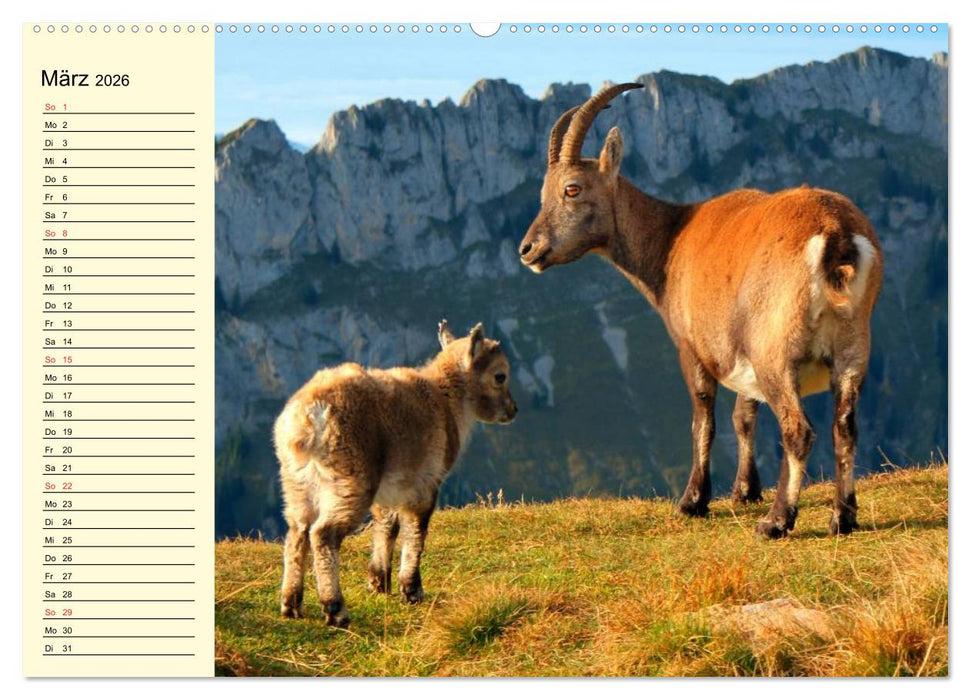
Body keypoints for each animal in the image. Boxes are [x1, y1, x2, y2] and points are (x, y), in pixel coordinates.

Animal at [275, 320, 517, 626]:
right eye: (500, 376)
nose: (513, 411)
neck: (447, 400)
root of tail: (309, 417)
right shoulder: (424, 484)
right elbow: (416, 531)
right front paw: (412, 590)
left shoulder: (390, 489)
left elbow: (386, 526)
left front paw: (379, 583)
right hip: (350, 480)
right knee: (323, 534)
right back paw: (335, 609)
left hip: (296, 482)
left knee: (298, 531)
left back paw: (291, 604)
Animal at [518, 83, 882, 538]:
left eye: (572, 188)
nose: (528, 249)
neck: (671, 241)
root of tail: (836, 237)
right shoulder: (738, 351)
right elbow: (744, 415)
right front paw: (745, 490)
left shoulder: (693, 347)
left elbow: (703, 419)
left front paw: (693, 501)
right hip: (852, 346)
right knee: (845, 426)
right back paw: (842, 517)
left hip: (776, 348)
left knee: (798, 429)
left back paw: (777, 521)